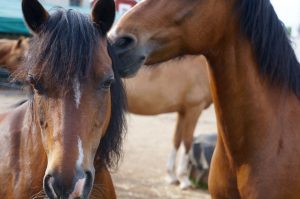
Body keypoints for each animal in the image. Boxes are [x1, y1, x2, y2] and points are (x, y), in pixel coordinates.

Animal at [123, 55, 212, 189]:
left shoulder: (182, 112)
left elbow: (176, 140)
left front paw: (172, 176)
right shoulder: (194, 109)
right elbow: (187, 141)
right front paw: (184, 180)